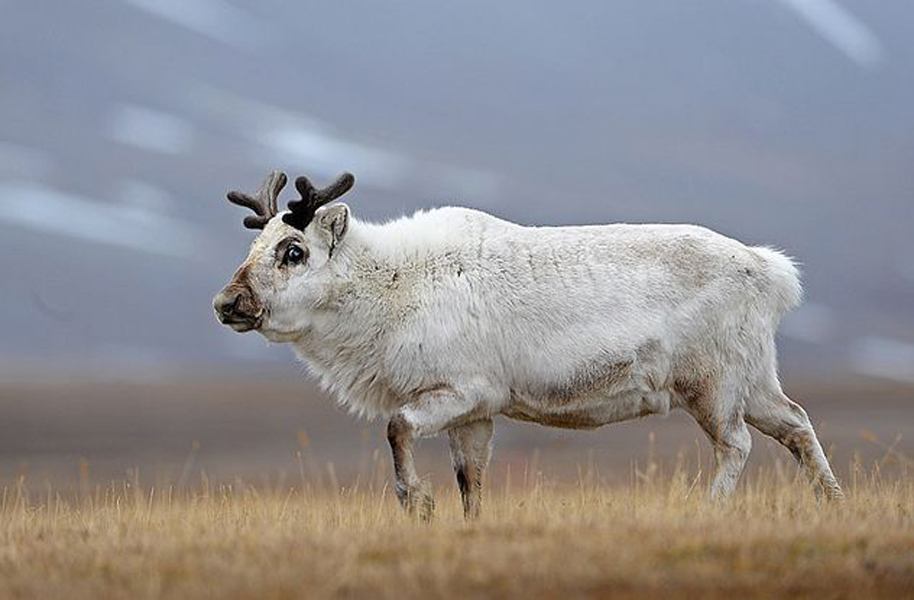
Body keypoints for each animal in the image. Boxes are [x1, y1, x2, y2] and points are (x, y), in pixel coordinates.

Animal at [213, 170, 843, 520]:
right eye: (256, 245)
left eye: (294, 251)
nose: (226, 303)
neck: (388, 286)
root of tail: (771, 271)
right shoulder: (475, 415)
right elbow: (471, 483)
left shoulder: (461, 390)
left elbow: (395, 428)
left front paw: (418, 503)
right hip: (753, 379)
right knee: (796, 422)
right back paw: (834, 503)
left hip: (710, 384)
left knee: (737, 444)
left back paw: (708, 509)